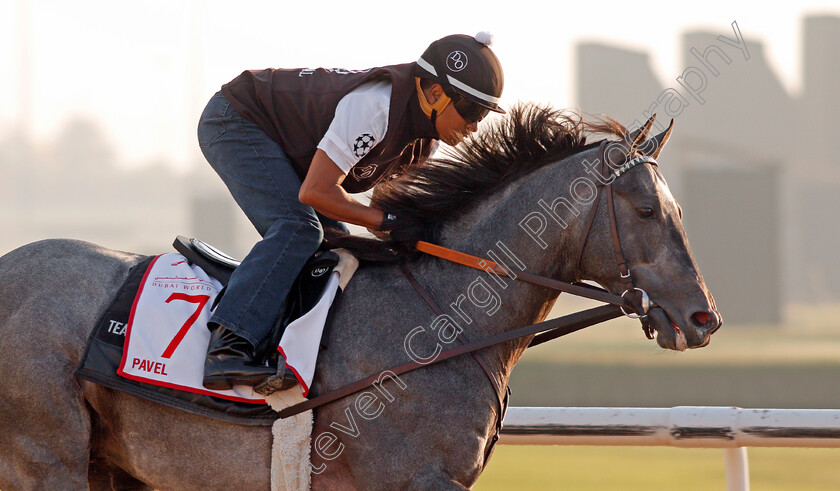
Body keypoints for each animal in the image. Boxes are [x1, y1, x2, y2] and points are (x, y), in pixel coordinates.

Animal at [0, 105, 720, 490]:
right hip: (48, 456)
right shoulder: (412, 477)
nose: (702, 317)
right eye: (646, 209)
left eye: (680, 208)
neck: (442, 317)